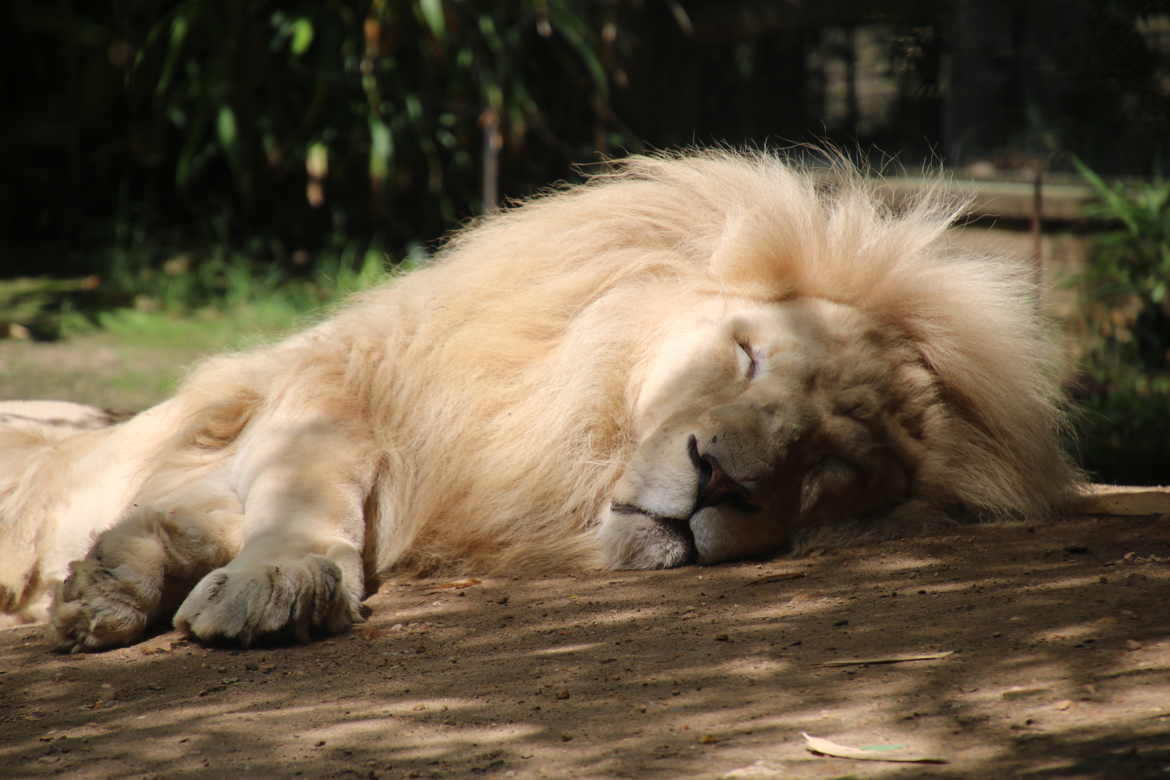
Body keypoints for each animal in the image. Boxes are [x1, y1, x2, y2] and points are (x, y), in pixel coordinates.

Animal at [0, 149, 1076, 650]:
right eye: (749, 358)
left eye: (832, 465)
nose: (721, 483)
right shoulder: (337, 392)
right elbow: (310, 490)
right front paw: (275, 584)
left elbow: (199, 518)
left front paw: (113, 578)